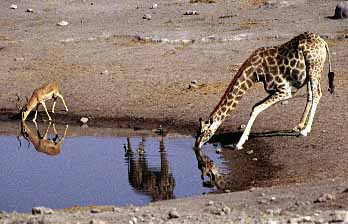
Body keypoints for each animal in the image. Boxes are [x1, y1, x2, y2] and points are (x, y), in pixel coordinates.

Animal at [196, 31, 334, 150]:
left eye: (203, 132)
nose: (196, 146)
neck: (256, 73)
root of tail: (323, 42)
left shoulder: (285, 91)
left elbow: (256, 108)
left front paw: (239, 143)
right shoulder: (275, 91)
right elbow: (254, 106)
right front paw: (243, 139)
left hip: (314, 68)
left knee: (317, 94)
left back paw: (305, 130)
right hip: (310, 73)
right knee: (311, 95)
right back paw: (298, 126)